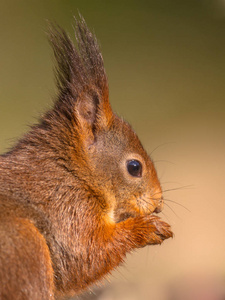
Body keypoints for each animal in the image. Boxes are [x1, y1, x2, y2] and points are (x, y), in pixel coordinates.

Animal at [0, 17, 173, 300]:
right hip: (26, 249)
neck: (72, 172)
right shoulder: (67, 208)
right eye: (134, 167)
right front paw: (147, 228)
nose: (158, 203)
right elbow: (85, 256)